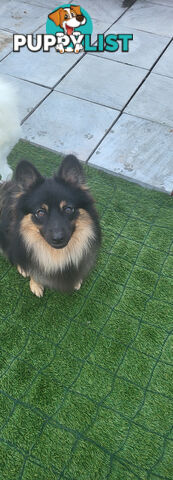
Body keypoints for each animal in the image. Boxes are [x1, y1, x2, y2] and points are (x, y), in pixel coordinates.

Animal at [0, 156, 100, 296]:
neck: (56, 255)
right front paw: (35, 284)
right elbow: (33, 269)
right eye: (40, 212)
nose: (58, 238)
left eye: (68, 209)